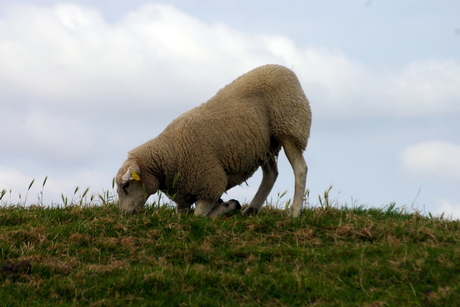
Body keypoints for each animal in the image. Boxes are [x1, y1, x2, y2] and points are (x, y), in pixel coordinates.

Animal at [116, 64, 312, 219]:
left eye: (126, 185)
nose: (124, 214)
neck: (171, 154)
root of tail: (286, 69)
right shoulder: (184, 195)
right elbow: (184, 215)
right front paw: (227, 205)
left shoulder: (212, 182)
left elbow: (200, 216)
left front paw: (227, 206)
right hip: (264, 143)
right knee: (271, 174)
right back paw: (252, 209)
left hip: (289, 127)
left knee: (300, 169)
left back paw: (295, 212)